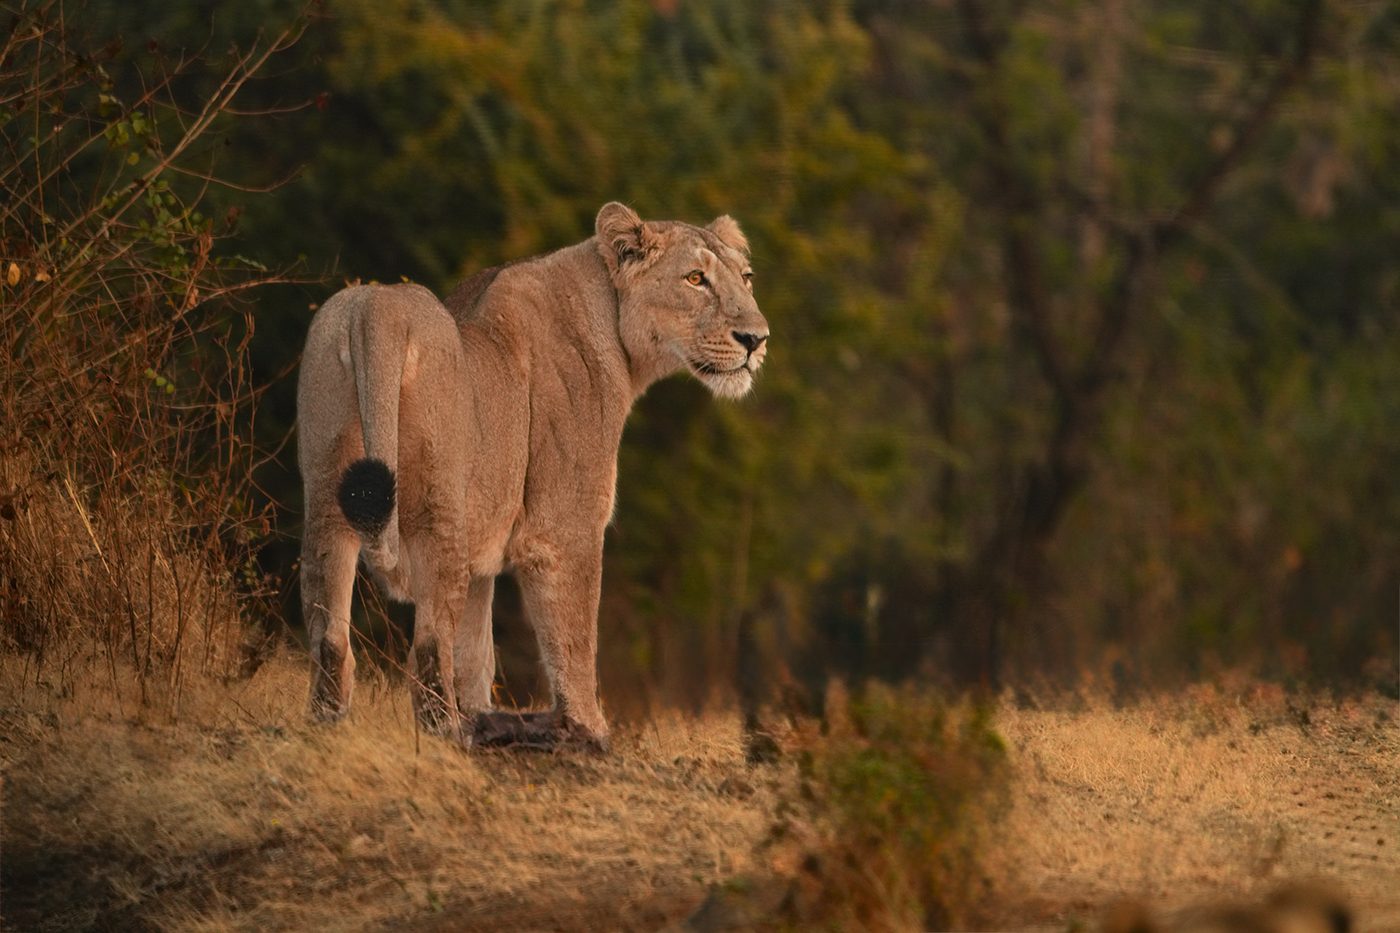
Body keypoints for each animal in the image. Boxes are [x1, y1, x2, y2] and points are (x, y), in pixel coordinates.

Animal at [296, 202, 768, 749]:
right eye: (695, 279)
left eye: (746, 278)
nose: (756, 340)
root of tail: (377, 310)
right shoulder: (565, 527)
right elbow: (576, 635)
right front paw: (590, 729)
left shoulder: (483, 548)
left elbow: (476, 651)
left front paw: (481, 712)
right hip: (439, 503)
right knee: (429, 645)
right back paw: (446, 735)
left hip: (328, 493)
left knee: (330, 636)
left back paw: (331, 725)